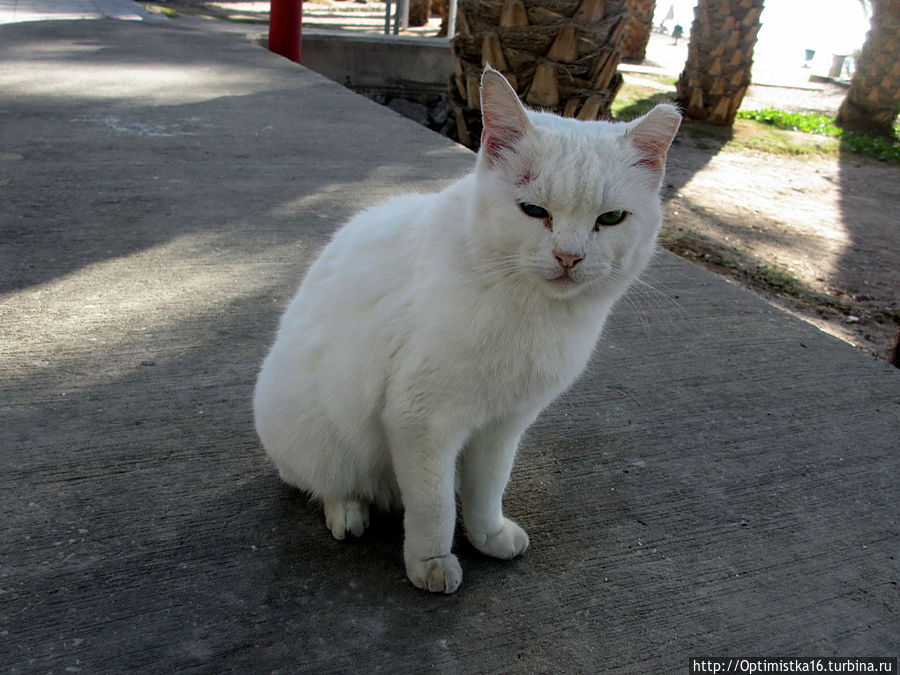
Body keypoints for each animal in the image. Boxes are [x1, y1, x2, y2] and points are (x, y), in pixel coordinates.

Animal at [250, 68, 680, 596]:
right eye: (534, 211)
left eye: (611, 218)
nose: (569, 257)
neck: (530, 312)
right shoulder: (420, 421)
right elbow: (435, 507)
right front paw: (432, 563)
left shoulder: (504, 424)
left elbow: (486, 489)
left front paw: (487, 536)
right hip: (313, 432)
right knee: (330, 483)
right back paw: (349, 512)